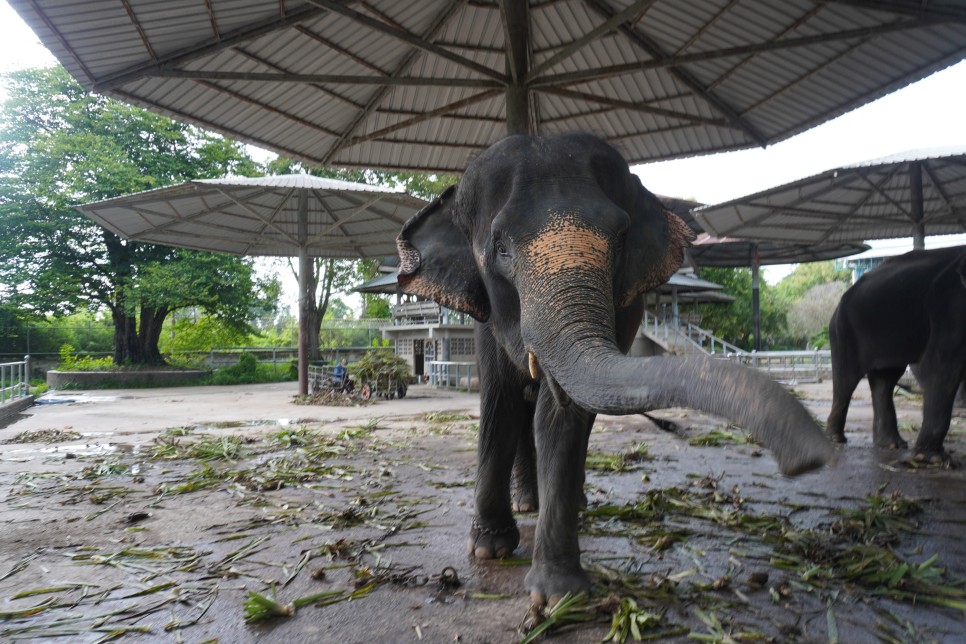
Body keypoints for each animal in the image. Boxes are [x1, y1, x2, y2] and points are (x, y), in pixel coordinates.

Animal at [398, 131, 836, 604]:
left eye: (622, 240)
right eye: (500, 247)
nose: (809, 458)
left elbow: (560, 416)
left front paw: (559, 594)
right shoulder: (484, 315)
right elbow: (500, 402)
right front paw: (489, 549)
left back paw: (568, 503)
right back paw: (526, 504)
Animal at [824, 247, 966, 462]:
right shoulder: (950, 308)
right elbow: (938, 367)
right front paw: (932, 459)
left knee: (885, 379)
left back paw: (892, 444)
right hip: (843, 329)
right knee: (847, 380)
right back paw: (836, 439)